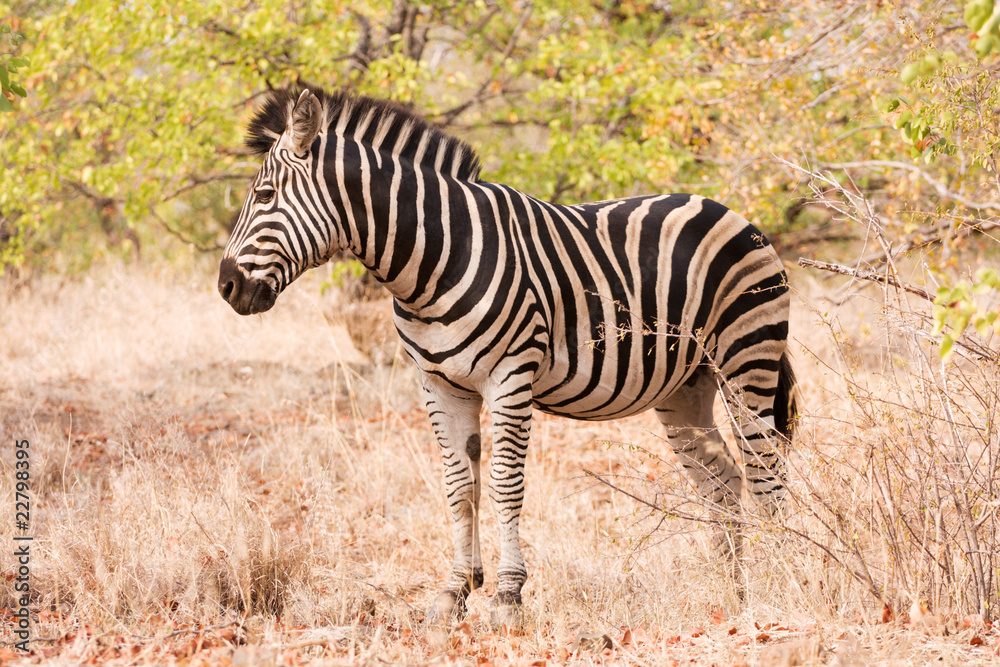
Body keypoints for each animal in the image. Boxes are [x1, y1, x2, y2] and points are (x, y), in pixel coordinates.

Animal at [218, 88, 797, 626]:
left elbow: (504, 483)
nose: (226, 287)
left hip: (747, 357)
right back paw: (734, 592)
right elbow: (458, 485)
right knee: (723, 481)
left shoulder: (510, 375)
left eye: (264, 194)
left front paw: (508, 594)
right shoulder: (437, 384)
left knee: (764, 469)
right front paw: (455, 590)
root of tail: (725, 209)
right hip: (686, 386)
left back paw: (778, 580)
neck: (434, 259)